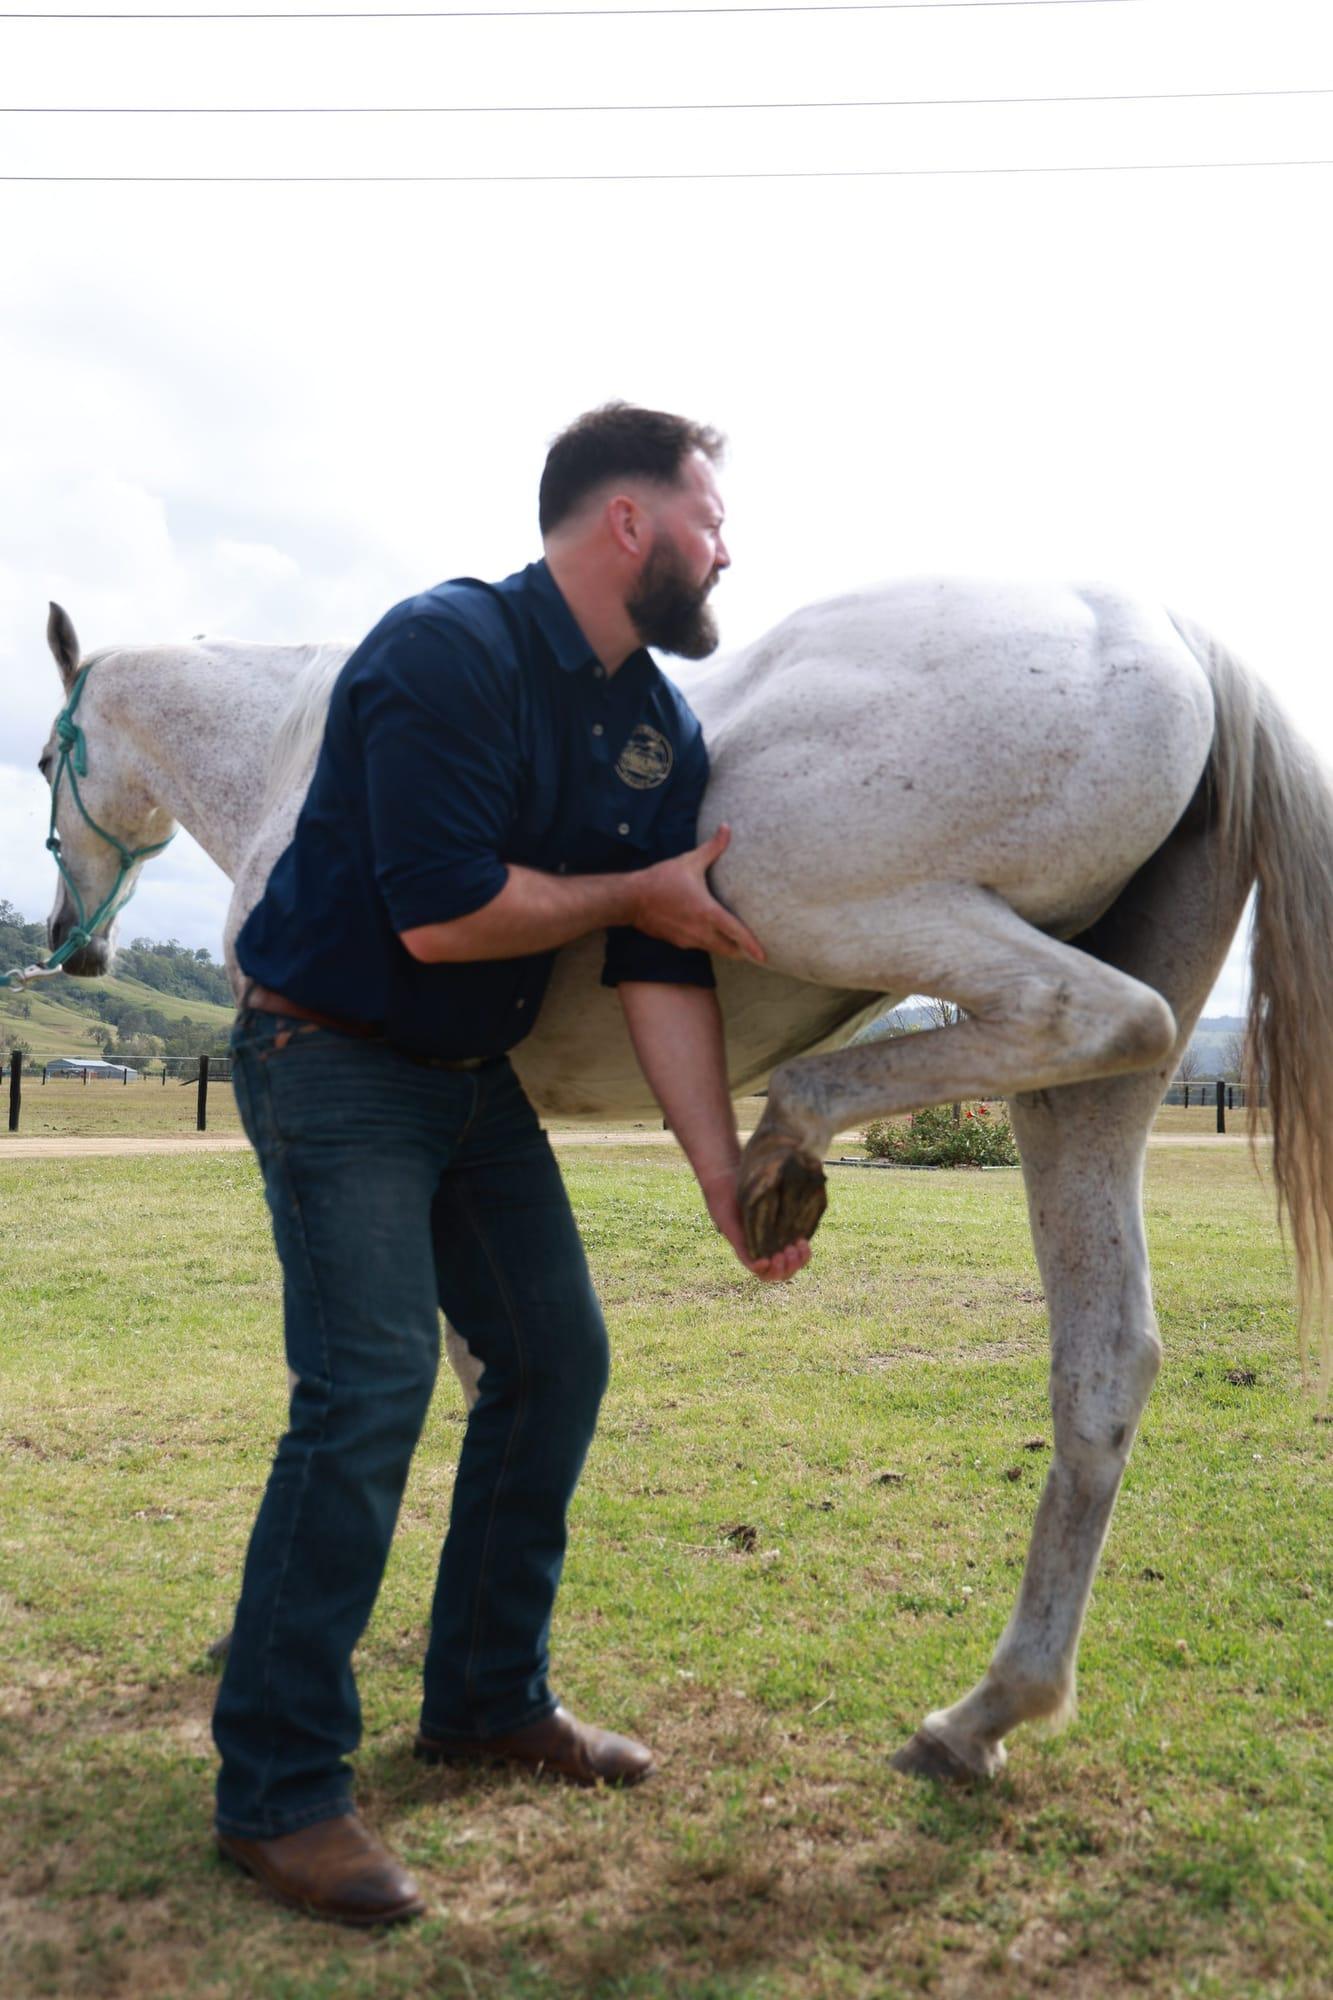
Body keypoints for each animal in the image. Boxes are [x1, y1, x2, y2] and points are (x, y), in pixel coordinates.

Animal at [31, 581, 1333, 1784]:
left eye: (45, 757)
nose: (69, 944)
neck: (299, 753)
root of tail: (1175, 636)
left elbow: (446, 1366)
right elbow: (492, 1363)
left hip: (819, 900)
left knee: (1097, 1013)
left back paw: (789, 1133)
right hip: (1076, 1103)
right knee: (1106, 1355)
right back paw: (983, 1712)